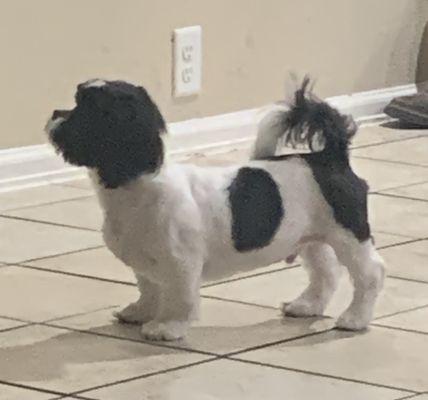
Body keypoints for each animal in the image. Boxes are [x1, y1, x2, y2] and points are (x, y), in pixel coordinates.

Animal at [46, 77, 384, 340]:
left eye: (85, 112)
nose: (54, 113)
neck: (138, 187)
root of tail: (330, 157)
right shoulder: (145, 262)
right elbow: (149, 289)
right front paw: (141, 312)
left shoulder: (181, 263)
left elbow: (180, 297)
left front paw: (167, 327)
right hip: (313, 238)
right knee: (325, 274)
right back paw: (307, 306)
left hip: (347, 234)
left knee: (370, 274)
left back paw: (355, 319)